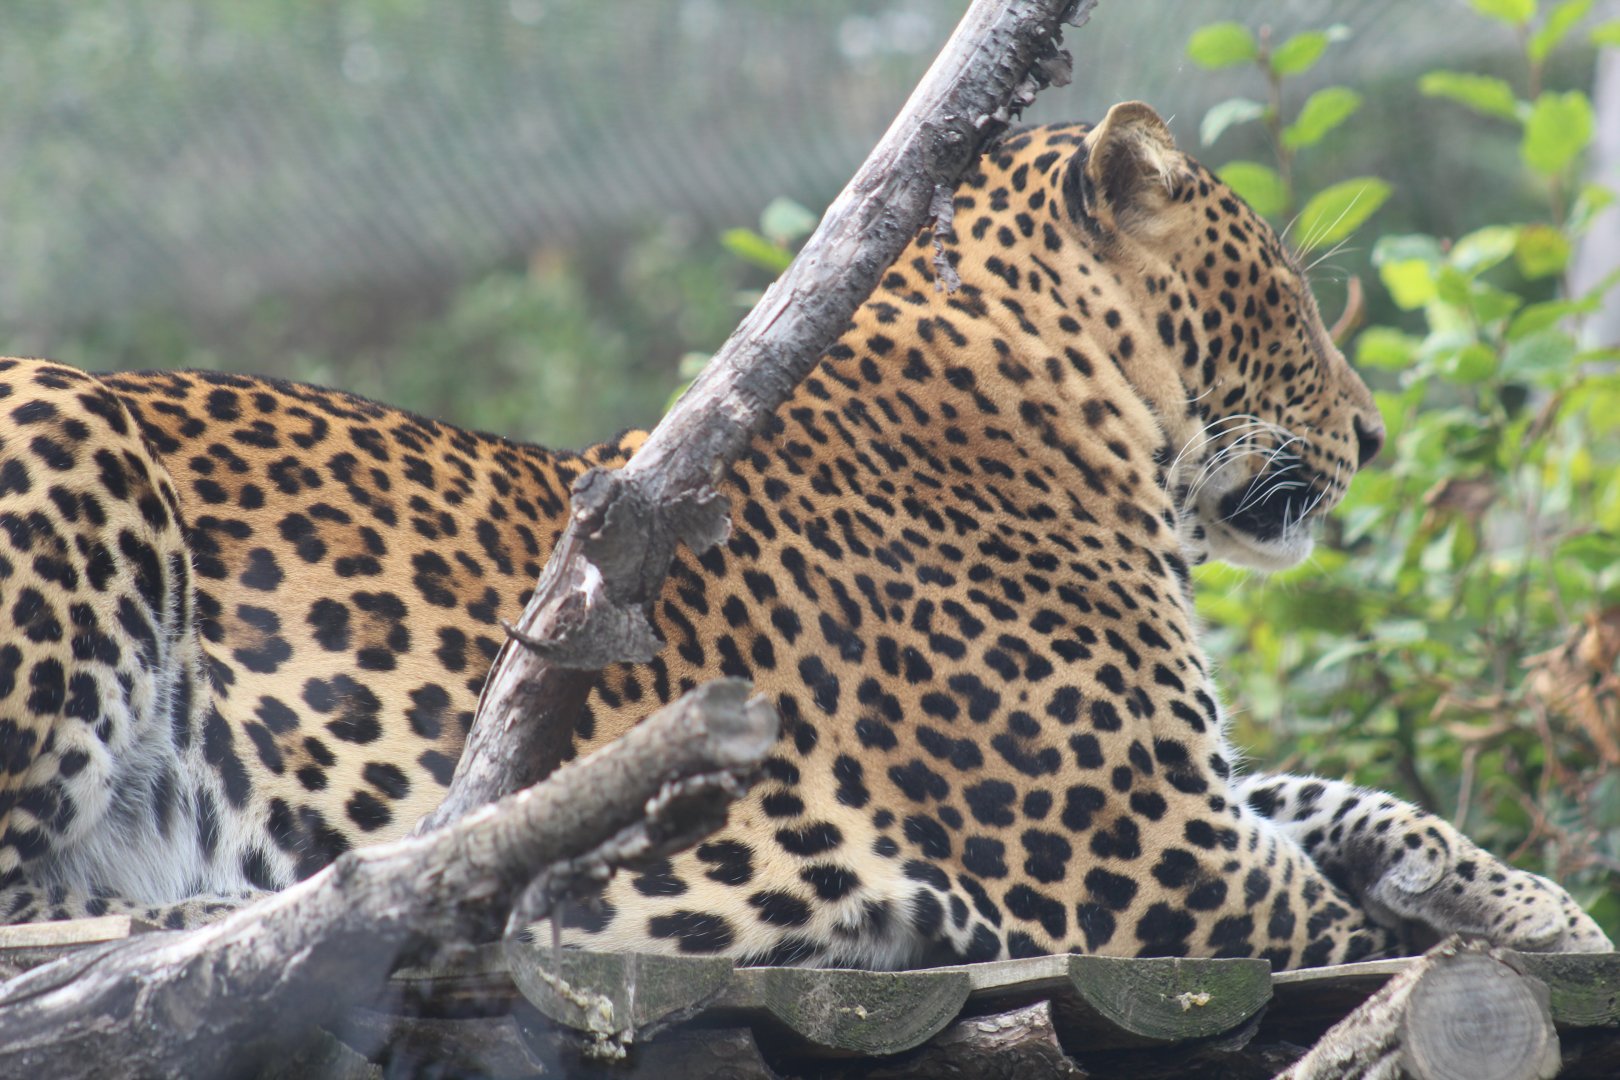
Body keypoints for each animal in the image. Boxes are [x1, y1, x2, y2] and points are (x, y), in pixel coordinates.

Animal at [0, 102, 1608, 969]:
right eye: (1281, 291)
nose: (1377, 437)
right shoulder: (1159, 865)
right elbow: (1369, 927)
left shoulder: (1191, 797)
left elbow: (1358, 804)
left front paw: (1542, 913)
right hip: (71, 441)